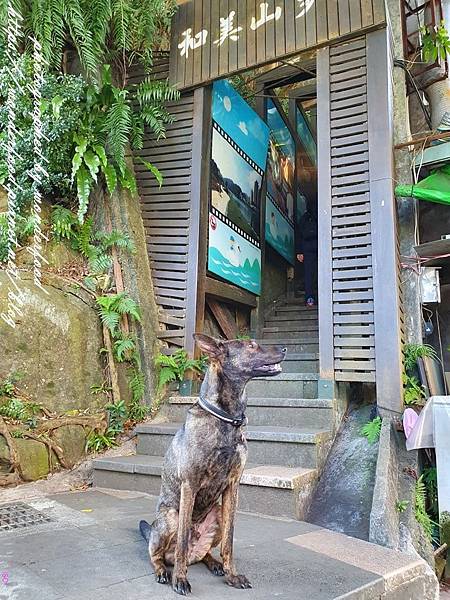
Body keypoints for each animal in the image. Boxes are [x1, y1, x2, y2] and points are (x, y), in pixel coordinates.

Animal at [139, 332, 286, 596]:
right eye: (251, 345)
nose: (285, 349)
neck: (226, 419)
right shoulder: (190, 485)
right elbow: (182, 542)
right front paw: (180, 579)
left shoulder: (233, 486)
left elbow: (229, 539)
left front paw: (232, 574)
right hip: (170, 517)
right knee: (159, 555)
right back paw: (164, 571)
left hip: (215, 513)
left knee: (203, 553)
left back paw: (214, 563)